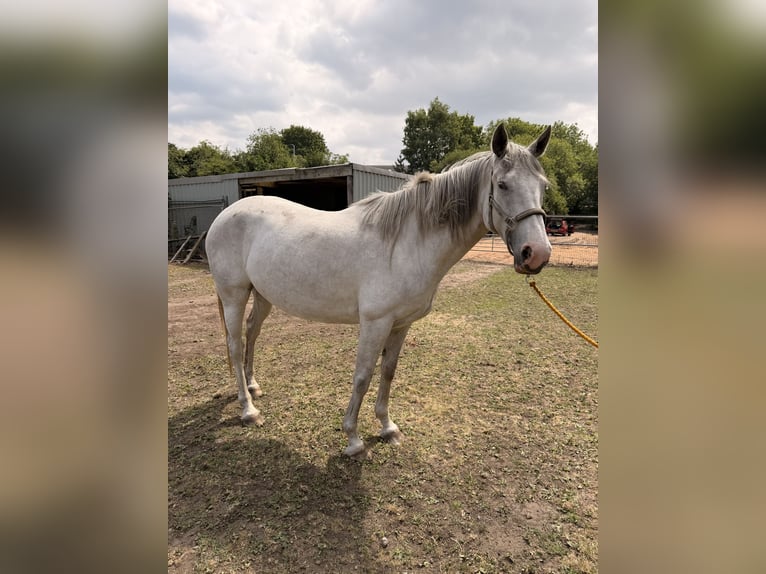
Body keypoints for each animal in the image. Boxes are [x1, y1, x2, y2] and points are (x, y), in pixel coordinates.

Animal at [206, 122, 552, 459]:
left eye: (543, 186)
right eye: (503, 184)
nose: (536, 254)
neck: (407, 242)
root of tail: (224, 215)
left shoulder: (401, 324)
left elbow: (387, 372)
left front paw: (388, 427)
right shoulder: (375, 323)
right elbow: (362, 376)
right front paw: (353, 440)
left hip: (262, 294)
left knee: (252, 332)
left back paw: (253, 386)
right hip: (234, 293)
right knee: (234, 344)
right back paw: (248, 409)